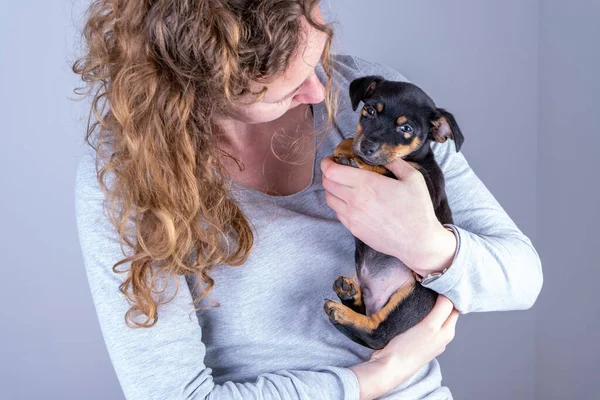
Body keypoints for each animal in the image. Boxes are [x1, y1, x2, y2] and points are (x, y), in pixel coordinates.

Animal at [324, 76, 464, 350]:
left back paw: (342, 312)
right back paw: (350, 295)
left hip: (413, 294)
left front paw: (359, 161)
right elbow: (352, 144)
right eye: (369, 111)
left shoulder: (423, 183)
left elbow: (388, 167)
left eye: (406, 128)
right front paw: (346, 148)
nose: (367, 147)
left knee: (378, 335)